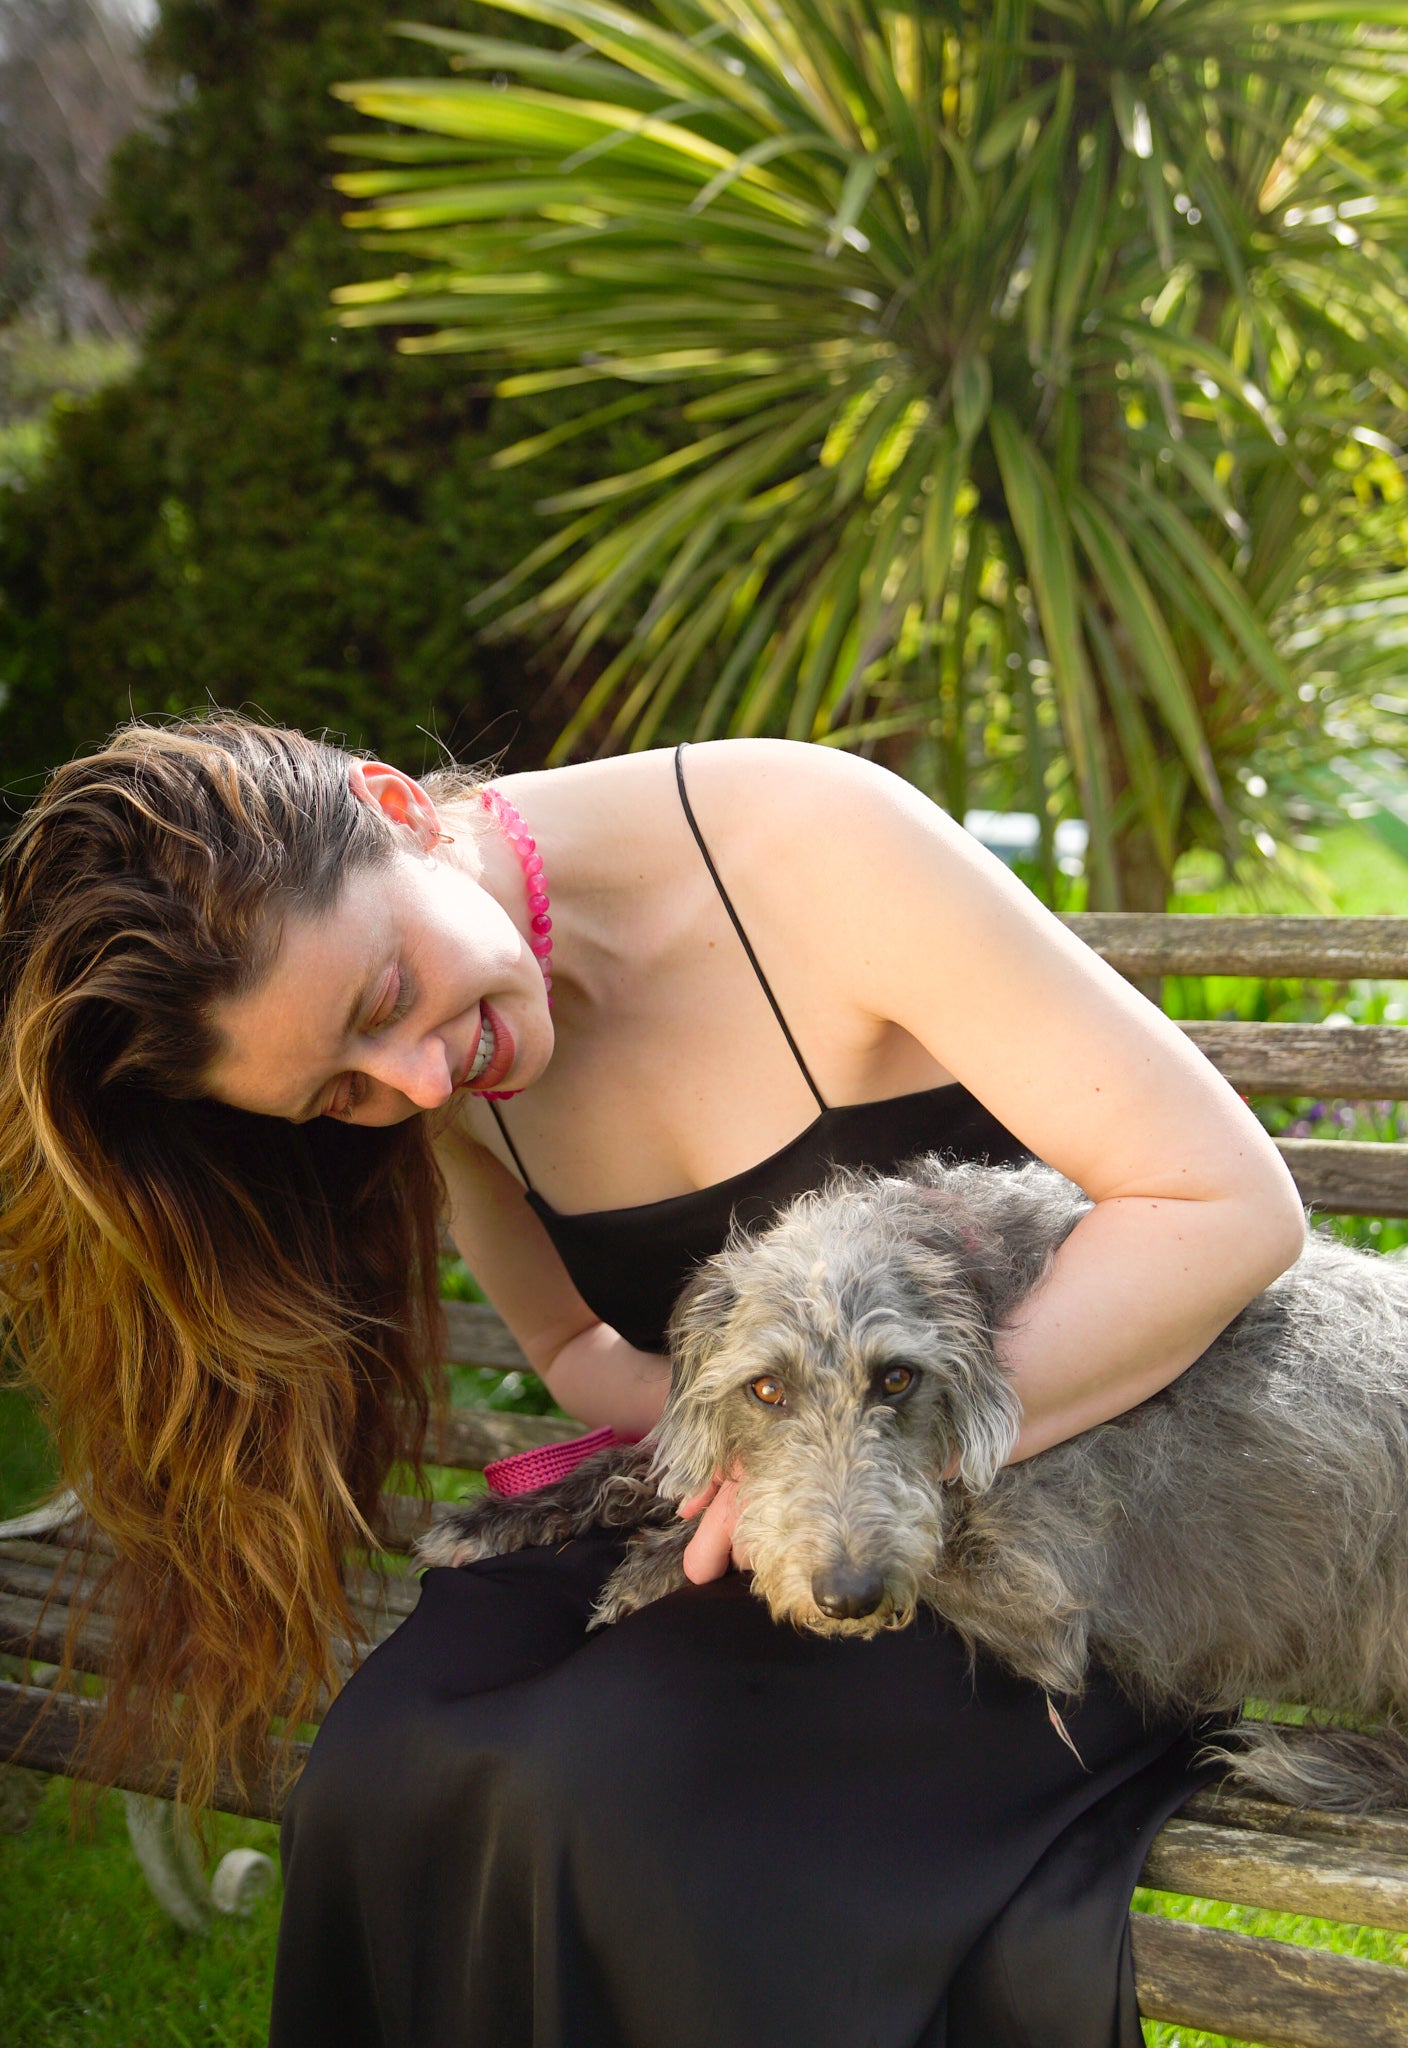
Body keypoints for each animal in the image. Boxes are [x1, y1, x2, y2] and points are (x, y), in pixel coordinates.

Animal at [421, 1163, 1408, 1818]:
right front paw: (505, 1512)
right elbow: (655, 1461)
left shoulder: (1036, 1595)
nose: (850, 1598)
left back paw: (1319, 1760)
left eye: (897, 1379)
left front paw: (656, 1566)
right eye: (766, 1390)